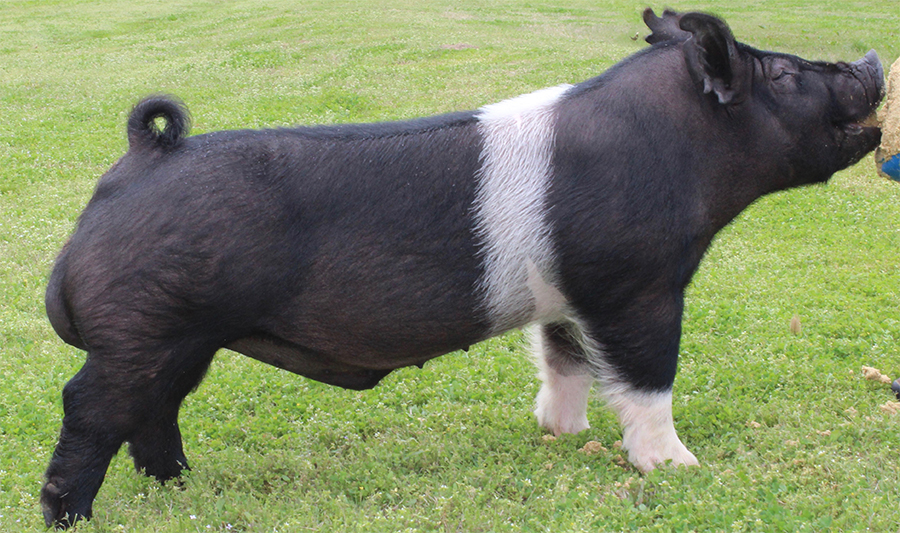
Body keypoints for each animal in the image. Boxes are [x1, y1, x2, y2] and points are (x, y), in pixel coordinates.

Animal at [38, 8, 884, 528]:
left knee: (155, 410)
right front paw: (677, 467)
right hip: (143, 327)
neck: (678, 149)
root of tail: (140, 159)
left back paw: (179, 483)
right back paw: (69, 515)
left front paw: (561, 432)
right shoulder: (638, 286)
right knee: (89, 407)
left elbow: (565, 359)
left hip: (183, 338)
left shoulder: (568, 297)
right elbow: (647, 379)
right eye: (781, 75)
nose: (874, 58)